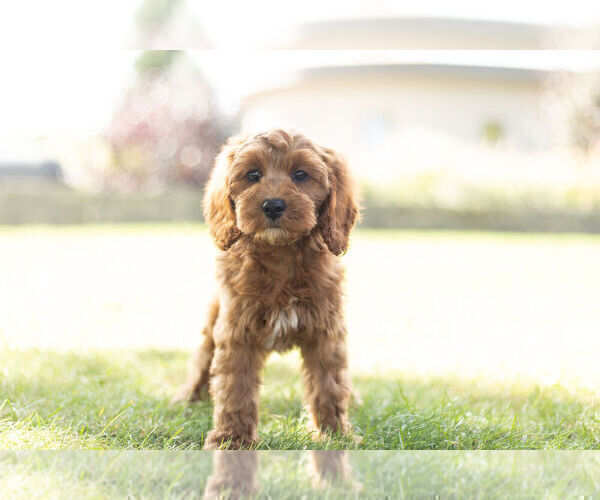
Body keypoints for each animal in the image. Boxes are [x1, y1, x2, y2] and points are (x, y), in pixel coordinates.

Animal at [176, 129, 358, 450]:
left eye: (300, 174)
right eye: (253, 174)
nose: (273, 205)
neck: (281, 254)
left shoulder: (326, 332)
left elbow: (330, 383)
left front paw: (335, 434)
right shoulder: (237, 331)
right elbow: (235, 387)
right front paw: (230, 439)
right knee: (202, 357)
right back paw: (189, 396)